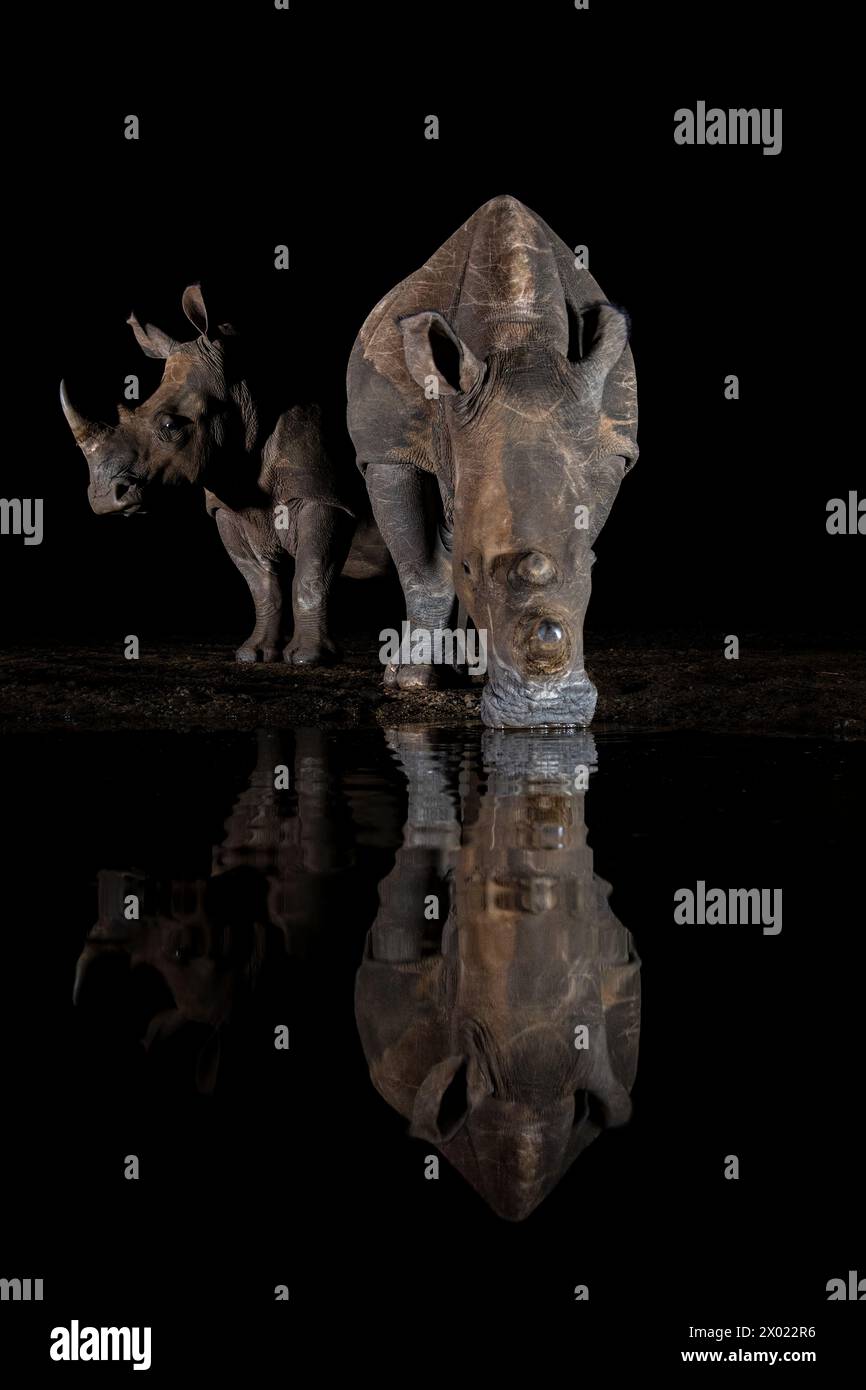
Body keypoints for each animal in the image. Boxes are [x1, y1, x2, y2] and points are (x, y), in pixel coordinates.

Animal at [63, 284, 383, 664]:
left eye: (170, 426)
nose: (102, 499)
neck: (247, 394)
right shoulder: (228, 506)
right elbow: (261, 583)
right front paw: (253, 654)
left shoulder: (323, 495)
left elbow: (311, 573)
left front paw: (308, 658)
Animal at [348, 198, 639, 728]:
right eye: (469, 568)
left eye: (594, 566)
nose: (543, 715)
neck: (521, 340)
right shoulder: (387, 452)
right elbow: (423, 568)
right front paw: (414, 682)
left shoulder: (611, 446)